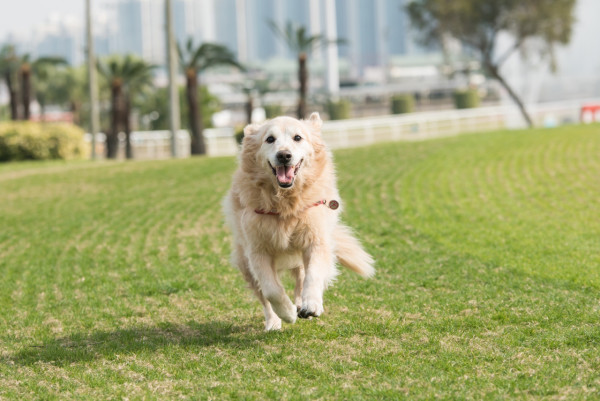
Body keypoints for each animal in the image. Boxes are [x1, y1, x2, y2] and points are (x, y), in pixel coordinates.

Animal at [225, 113, 376, 332]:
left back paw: (301, 305)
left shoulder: (315, 240)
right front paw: (287, 313)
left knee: (300, 279)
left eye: (297, 137)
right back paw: (274, 321)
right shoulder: (257, 250)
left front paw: (311, 305)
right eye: (270, 139)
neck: (285, 203)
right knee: (264, 296)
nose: (284, 155)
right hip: (244, 262)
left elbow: (313, 276)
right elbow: (271, 290)